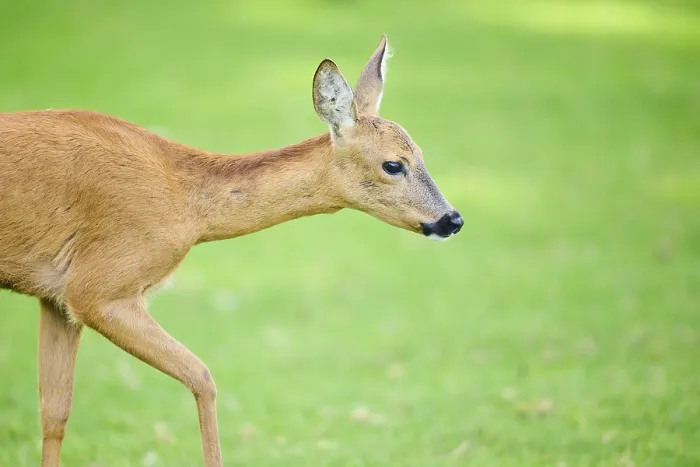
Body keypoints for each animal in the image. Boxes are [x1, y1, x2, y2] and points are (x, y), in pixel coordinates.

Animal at [0, 35, 462, 466]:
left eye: (421, 153)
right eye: (393, 164)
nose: (452, 219)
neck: (188, 205)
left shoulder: (56, 298)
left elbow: (55, 413)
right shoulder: (98, 287)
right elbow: (202, 377)